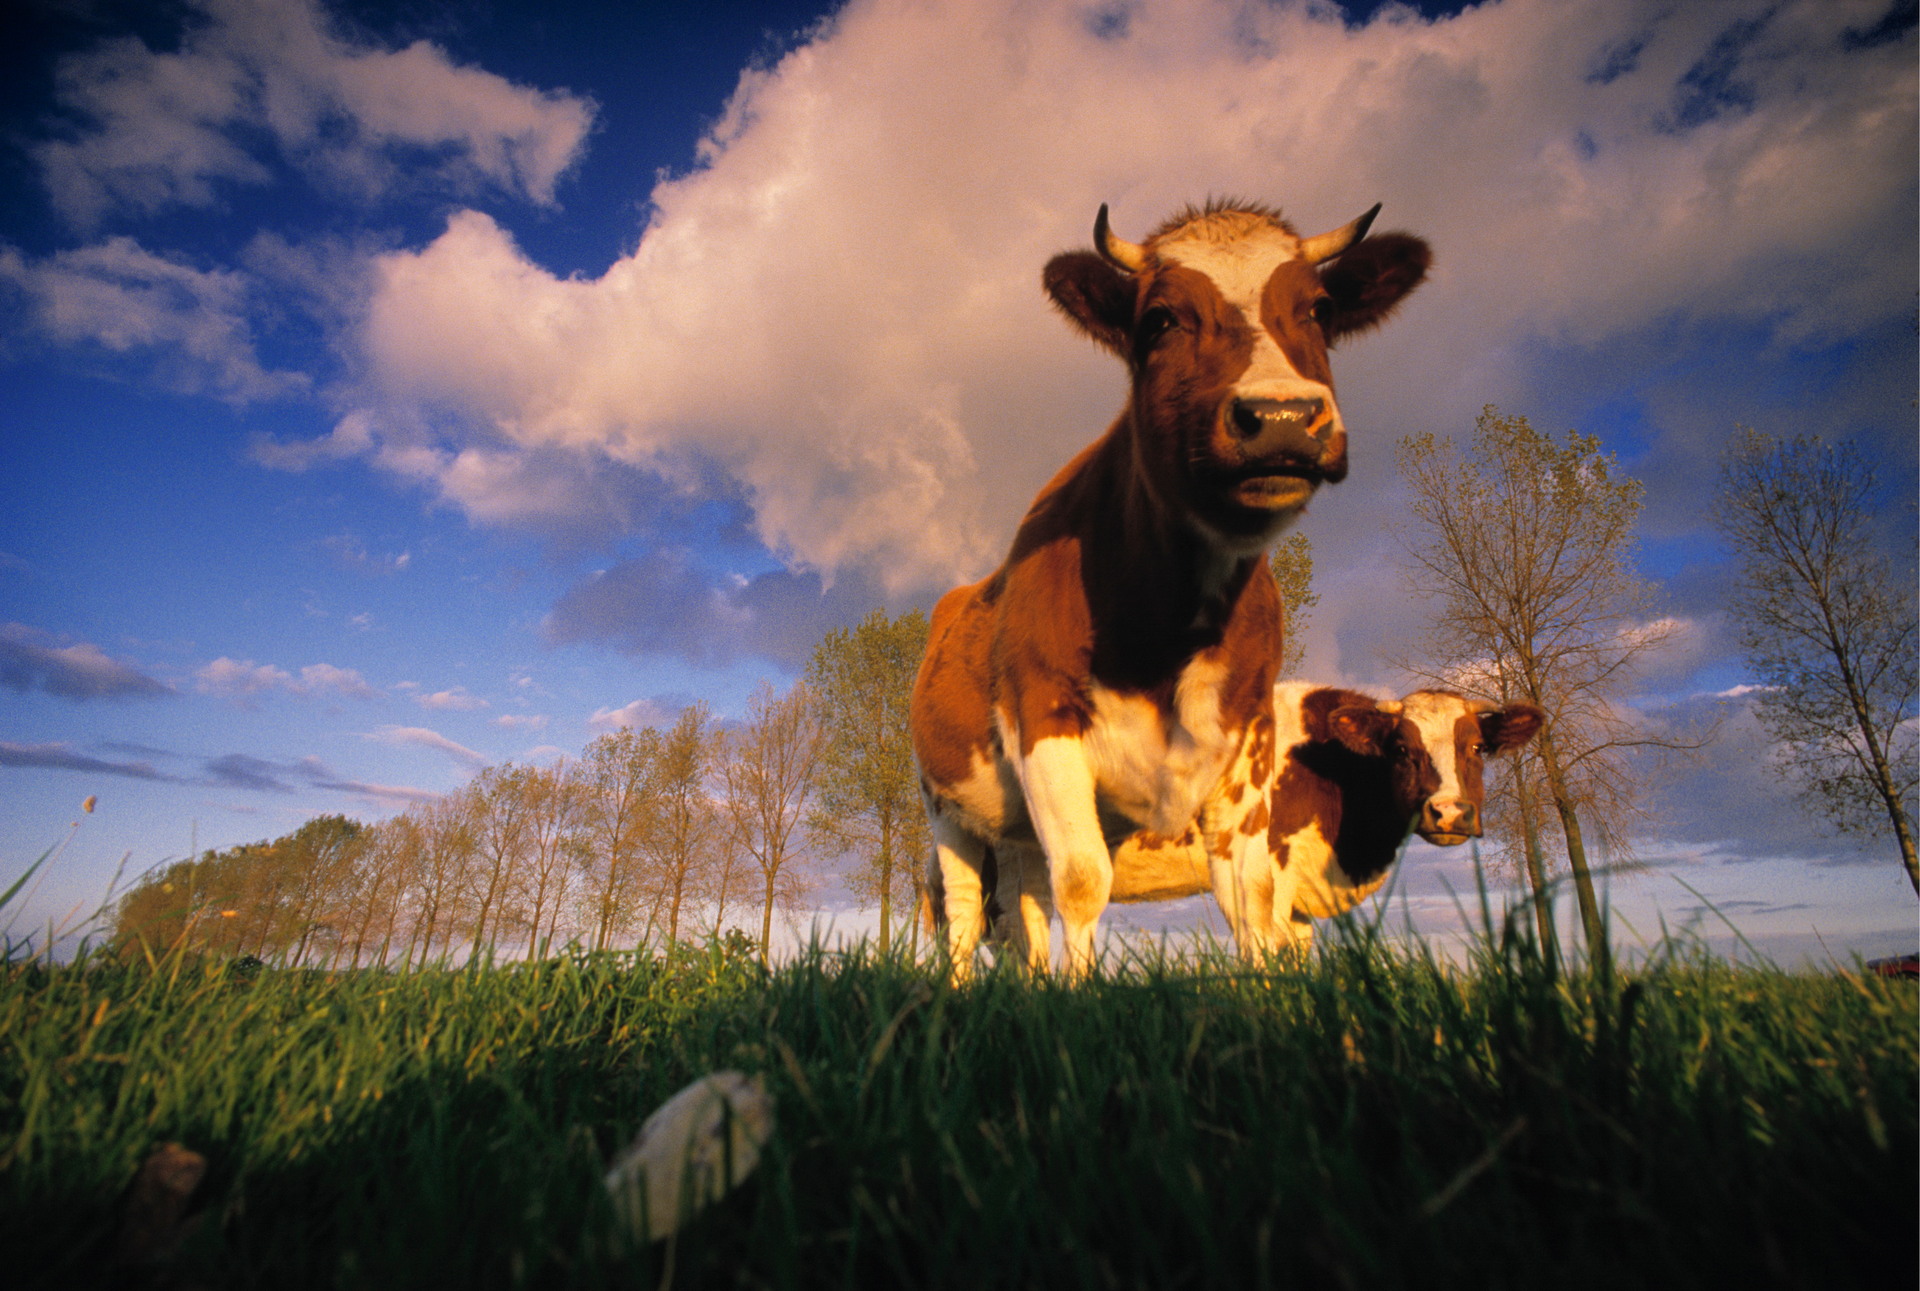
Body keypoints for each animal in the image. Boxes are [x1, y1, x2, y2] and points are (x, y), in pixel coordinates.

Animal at [910, 196, 1428, 972]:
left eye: (1320, 308)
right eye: (1158, 320)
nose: (1282, 418)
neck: (1169, 626)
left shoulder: (1245, 745)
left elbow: (1251, 907)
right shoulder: (1043, 720)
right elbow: (1082, 881)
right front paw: (1077, 994)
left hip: (1015, 827)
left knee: (1025, 911)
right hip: (948, 809)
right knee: (970, 914)